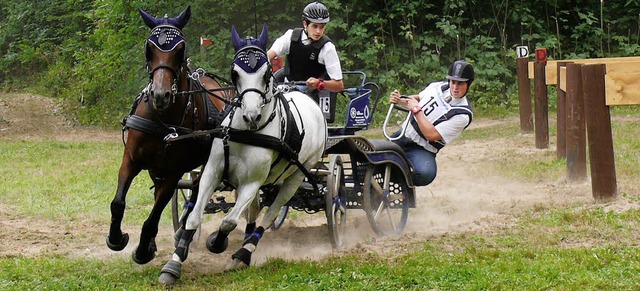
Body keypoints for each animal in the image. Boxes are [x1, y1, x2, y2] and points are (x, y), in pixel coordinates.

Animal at [105, 5, 232, 266]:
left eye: (180, 50)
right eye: (149, 48)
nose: (160, 95)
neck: (163, 121)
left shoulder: (174, 172)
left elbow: (154, 216)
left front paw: (143, 251)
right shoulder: (131, 160)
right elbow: (118, 202)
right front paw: (116, 238)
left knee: (195, 195)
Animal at [158, 24, 328, 286]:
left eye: (267, 74)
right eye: (235, 72)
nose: (251, 115)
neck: (246, 133)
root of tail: (307, 98)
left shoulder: (252, 182)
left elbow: (229, 221)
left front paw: (217, 242)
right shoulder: (212, 172)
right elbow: (194, 216)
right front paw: (173, 264)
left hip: (296, 177)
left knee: (269, 214)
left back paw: (244, 252)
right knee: (254, 210)